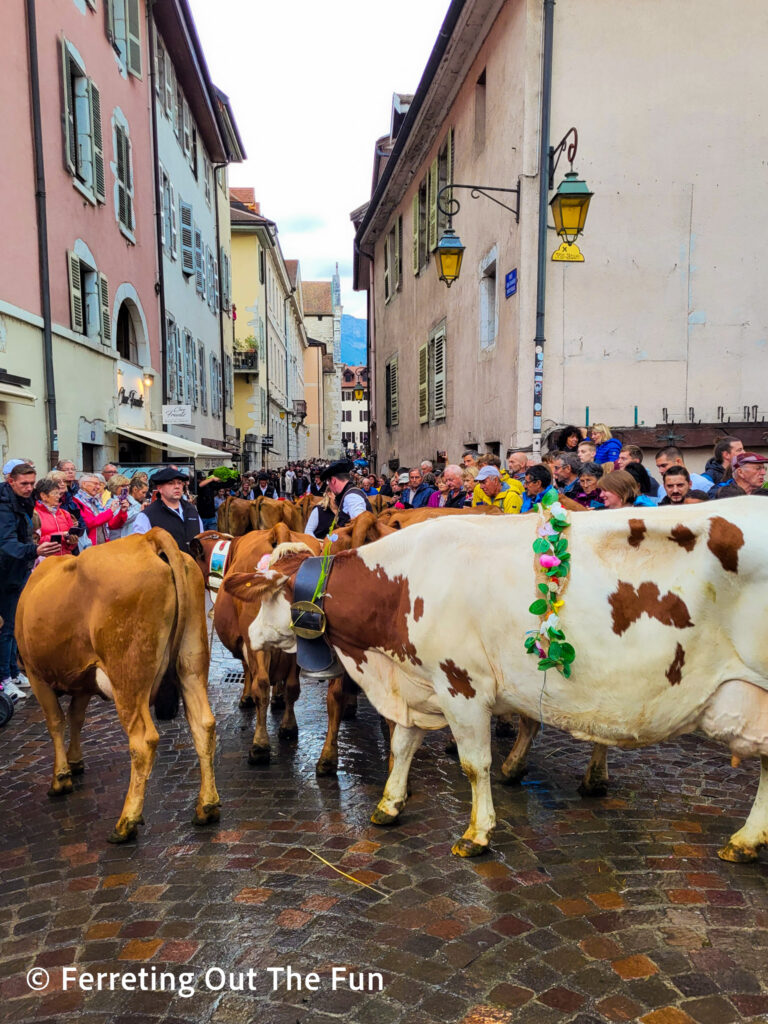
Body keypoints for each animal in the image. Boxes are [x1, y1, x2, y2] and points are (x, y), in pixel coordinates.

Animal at [15, 528, 219, 839]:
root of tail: (146, 538)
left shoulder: (36, 674)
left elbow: (55, 721)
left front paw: (60, 778)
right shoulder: (84, 679)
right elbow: (76, 717)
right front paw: (75, 762)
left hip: (128, 677)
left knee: (143, 741)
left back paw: (126, 822)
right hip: (191, 661)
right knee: (203, 724)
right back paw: (206, 808)